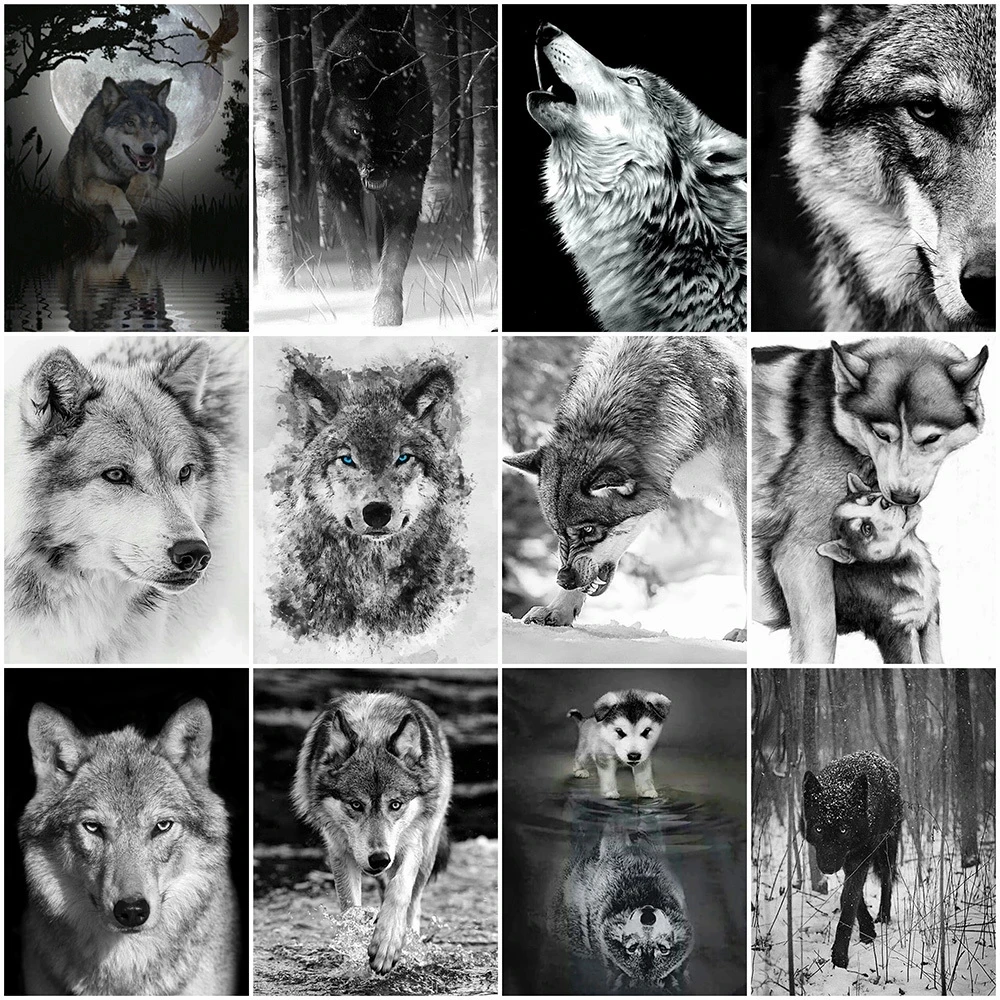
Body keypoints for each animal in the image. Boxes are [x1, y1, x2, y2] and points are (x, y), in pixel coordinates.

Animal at [56, 77, 176, 229]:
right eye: (130, 123)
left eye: (153, 124)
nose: (150, 148)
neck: (121, 170)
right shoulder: (85, 185)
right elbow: (114, 189)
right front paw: (127, 214)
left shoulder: (154, 178)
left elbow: (142, 178)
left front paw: (132, 199)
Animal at [292, 691, 452, 975]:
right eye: (356, 805)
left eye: (395, 804)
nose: (379, 859)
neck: (373, 729)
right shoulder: (340, 851)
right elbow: (350, 908)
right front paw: (355, 946)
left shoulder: (411, 843)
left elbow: (399, 890)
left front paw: (388, 942)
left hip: (427, 851)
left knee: (413, 901)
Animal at [312, 6, 432, 326]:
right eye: (356, 131)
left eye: (394, 130)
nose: (376, 171)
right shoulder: (338, 185)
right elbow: (355, 245)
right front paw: (362, 292)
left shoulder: (406, 189)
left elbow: (393, 257)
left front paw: (386, 312)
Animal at [801, 751, 902, 969]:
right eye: (819, 829)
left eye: (843, 830)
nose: (828, 867)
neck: (840, 781)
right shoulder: (849, 863)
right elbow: (853, 899)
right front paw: (867, 931)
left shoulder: (859, 860)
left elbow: (848, 901)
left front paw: (839, 957)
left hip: (887, 847)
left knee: (887, 880)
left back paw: (883, 916)